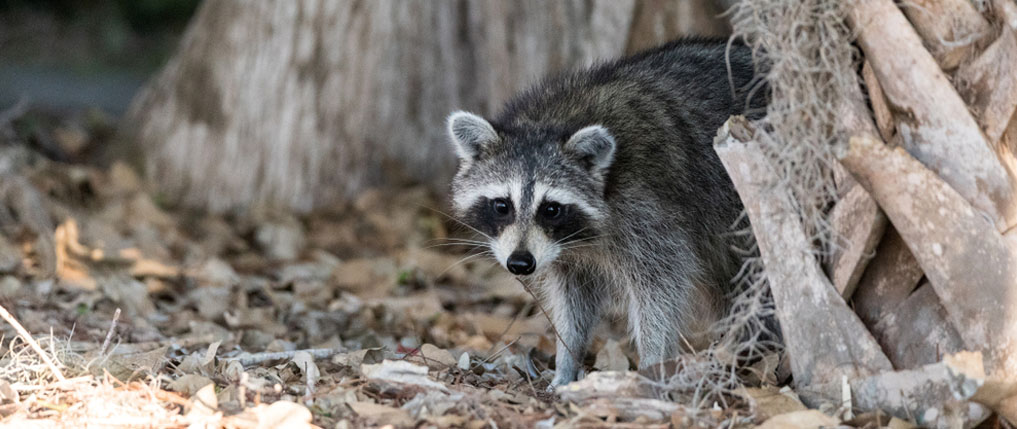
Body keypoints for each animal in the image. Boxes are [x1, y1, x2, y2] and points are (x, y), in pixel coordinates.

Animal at [449, 38, 764, 386]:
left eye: (551, 209)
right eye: (502, 206)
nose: (520, 264)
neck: (550, 122)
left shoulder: (648, 211)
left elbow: (662, 287)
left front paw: (653, 362)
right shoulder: (563, 254)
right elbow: (573, 298)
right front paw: (566, 359)